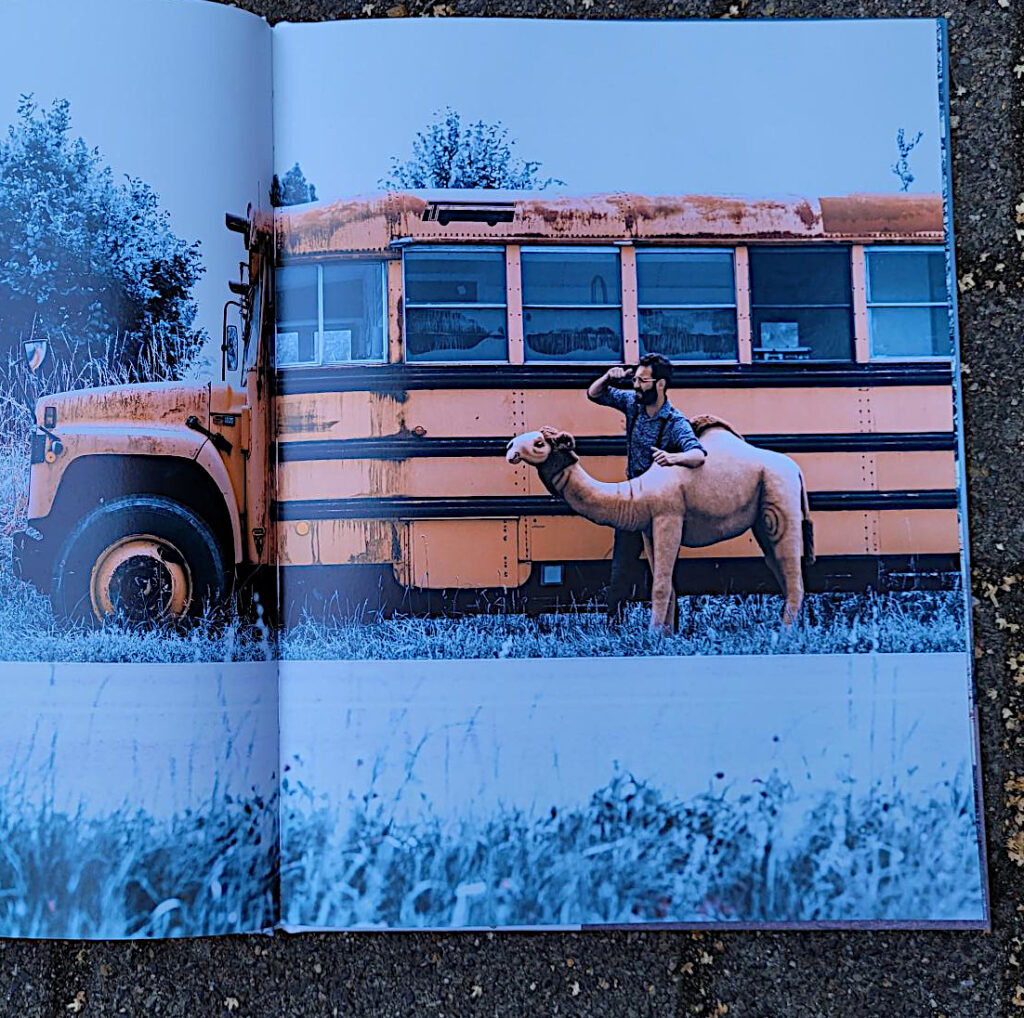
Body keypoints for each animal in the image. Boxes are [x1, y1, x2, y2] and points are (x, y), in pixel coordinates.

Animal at [505, 415, 815, 630]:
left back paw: (784, 634)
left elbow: (661, 585)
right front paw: (666, 635)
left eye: (540, 443)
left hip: (780, 499)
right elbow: (664, 582)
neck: (637, 493)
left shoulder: (669, 517)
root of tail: (797, 470)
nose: (509, 449)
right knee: (779, 566)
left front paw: (653, 635)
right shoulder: (649, 528)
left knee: (792, 573)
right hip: (763, 518)